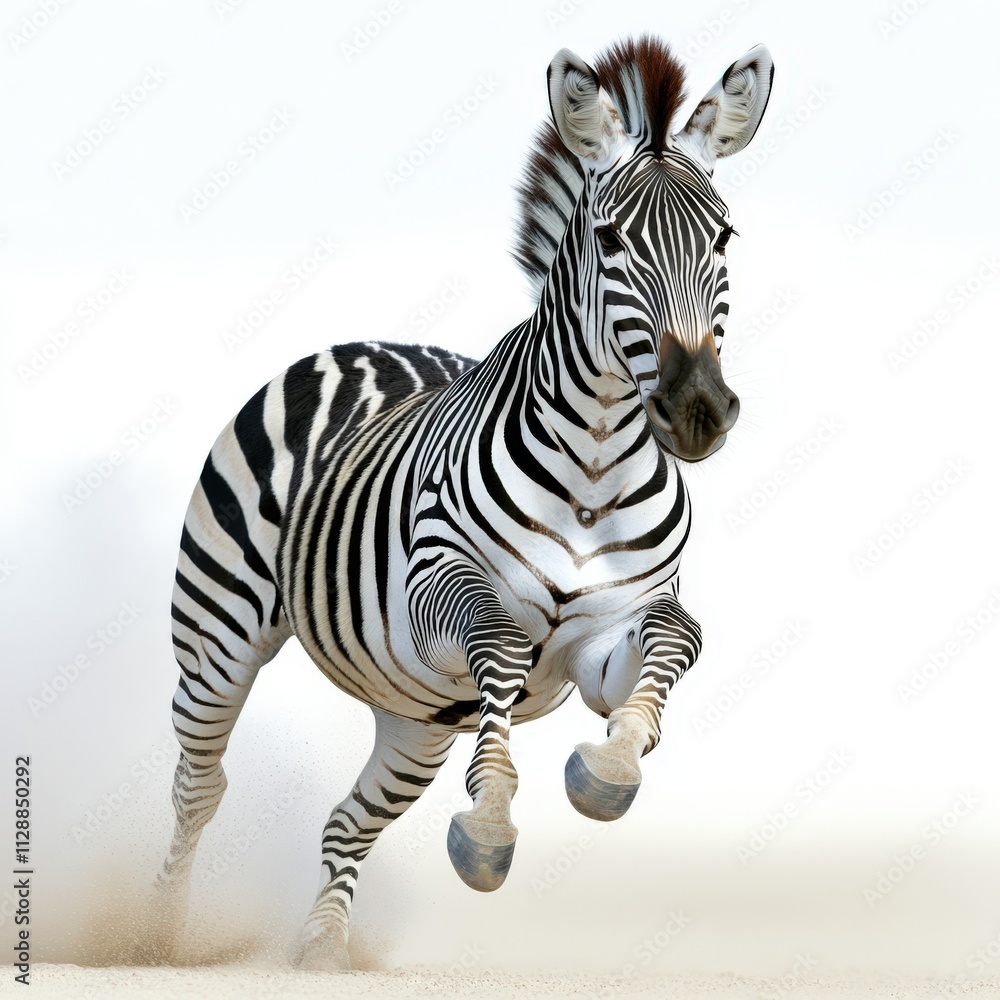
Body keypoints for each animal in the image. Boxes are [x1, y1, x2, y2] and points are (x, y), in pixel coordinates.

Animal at [154, 35, 773, 970]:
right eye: (610, 239)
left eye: (724, 236)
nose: (698, 408)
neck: (594, 468)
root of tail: (364, 343)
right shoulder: (439, 591)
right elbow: (505, 644)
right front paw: (489, 821)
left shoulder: (607, 645)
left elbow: (677, 641)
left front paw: (608, 773)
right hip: (218, 632)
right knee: (199, 785)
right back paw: (155, 932)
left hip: (414, 716)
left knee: (347, 822)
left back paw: (323, 949)